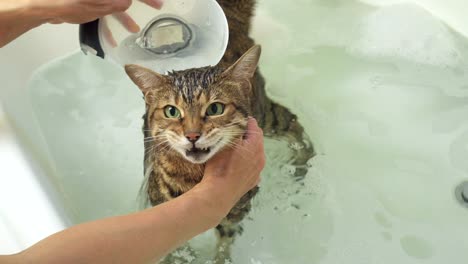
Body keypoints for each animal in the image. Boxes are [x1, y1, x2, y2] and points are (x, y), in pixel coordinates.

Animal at [124, 0, 314, 262]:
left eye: (215, 108)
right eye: (172, 111)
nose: (192, 135)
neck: (194, 180)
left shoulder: (237, 212)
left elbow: (225, 244)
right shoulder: (161, 209)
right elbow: (177, 248)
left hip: (266, 116)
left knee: (293, 123)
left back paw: (301, 165)